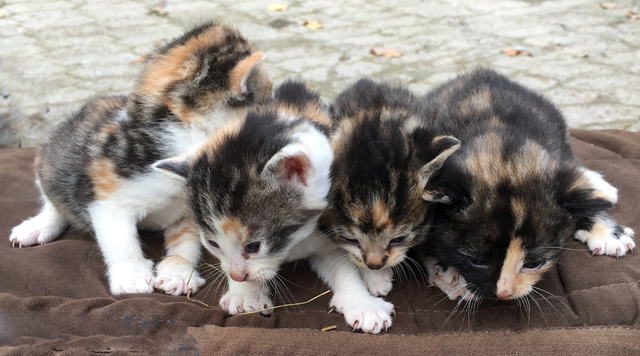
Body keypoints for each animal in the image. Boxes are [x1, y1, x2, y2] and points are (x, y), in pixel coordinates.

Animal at [9, 20, 272, 296]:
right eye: (269, 95)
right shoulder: (107, 195)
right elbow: (119, 237)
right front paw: (131, 276)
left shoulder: (193, 211)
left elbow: (188, 240)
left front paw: (178, 272)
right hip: (52, 160)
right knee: (55, 200)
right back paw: (38, 227)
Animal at [418, 69, 632, 300]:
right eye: (476, 260)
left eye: (534, 263)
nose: (503, 293)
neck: (499, 136)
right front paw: (450, 272)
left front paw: (608, 232)